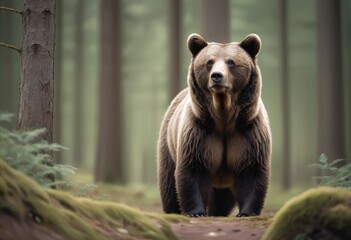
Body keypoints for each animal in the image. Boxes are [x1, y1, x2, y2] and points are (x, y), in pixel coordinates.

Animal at [158, 32, 274, 217]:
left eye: (231, 62)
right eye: (209, 62)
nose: (217, 76)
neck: (223, 118)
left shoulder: (248, 132)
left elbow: (251, 171)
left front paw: (246, 212)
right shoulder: (199, 131)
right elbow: (193, 169)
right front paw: (196, 211)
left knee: (222, 198)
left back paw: (218, 211)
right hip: (168, 143)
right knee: (168, 182)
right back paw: (172, 209)